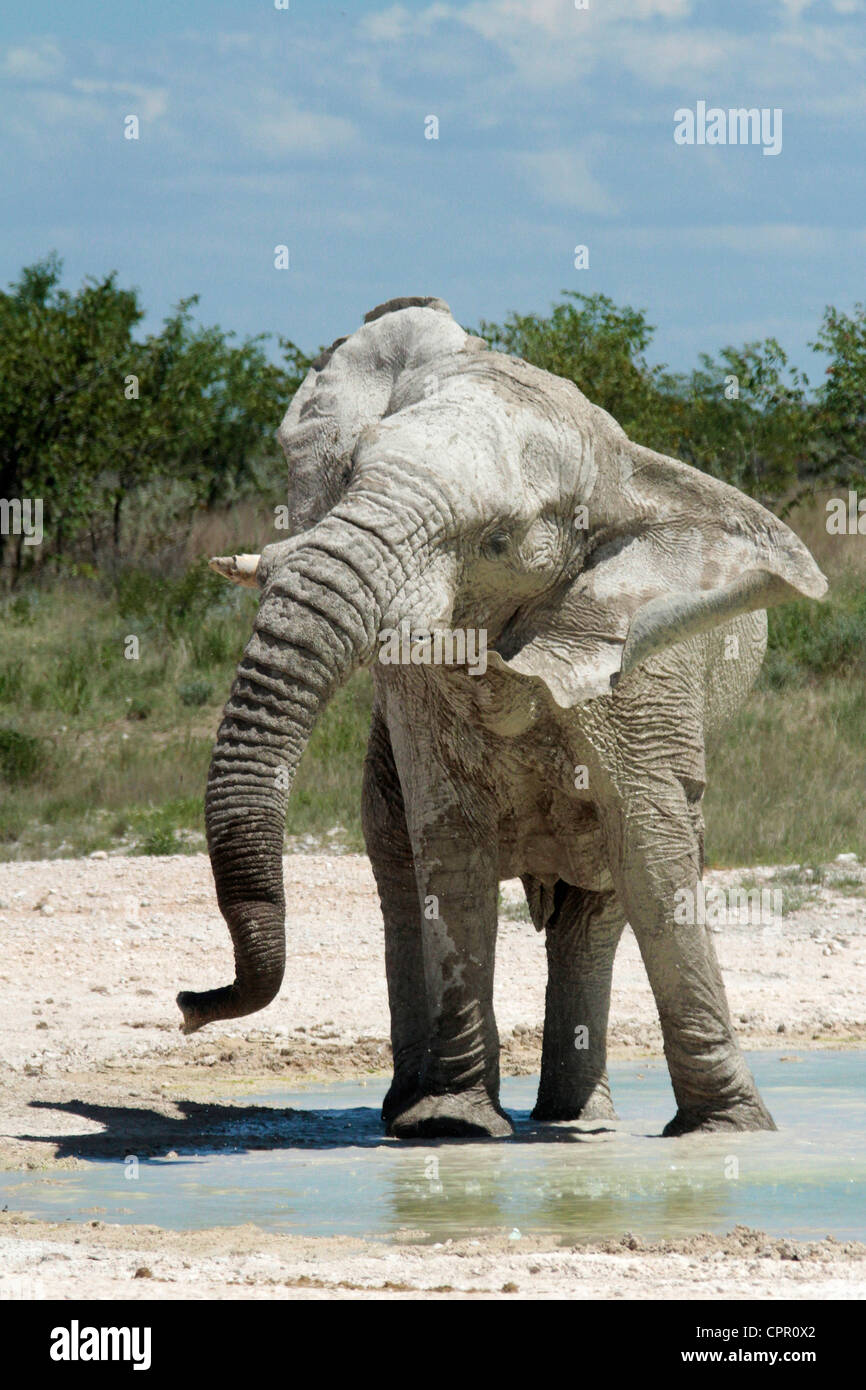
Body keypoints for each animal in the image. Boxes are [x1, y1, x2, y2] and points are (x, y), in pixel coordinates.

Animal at [177, 295, 827, 1140]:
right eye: (352, 472)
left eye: (497, 541)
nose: (191, 1005)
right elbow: (451, 838)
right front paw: (453, 1125)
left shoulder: (640, 663)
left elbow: (652, 848)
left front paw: (730, 1132)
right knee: (401, 868)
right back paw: (411, 1111)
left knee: (598, 902)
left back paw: (579, 1121)